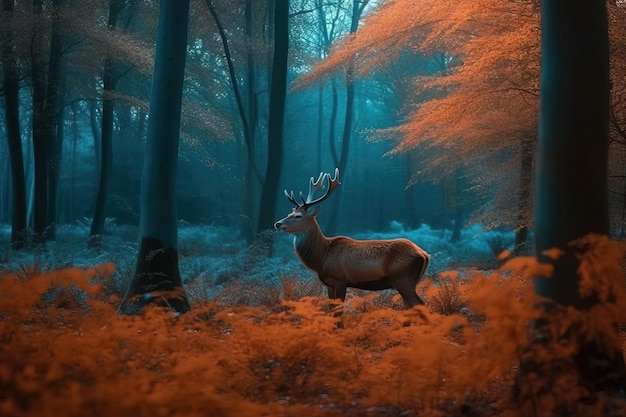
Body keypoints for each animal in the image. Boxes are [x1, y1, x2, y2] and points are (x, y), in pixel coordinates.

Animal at [272, 167, 428, 308]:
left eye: (298, 216)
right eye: (290, 213)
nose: (277, 223)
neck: (322, 256)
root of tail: (424, 255)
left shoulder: (341, 278)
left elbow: (339, 311)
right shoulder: (329, 283)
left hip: (403, 279)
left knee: (420, 304)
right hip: (406, 282)